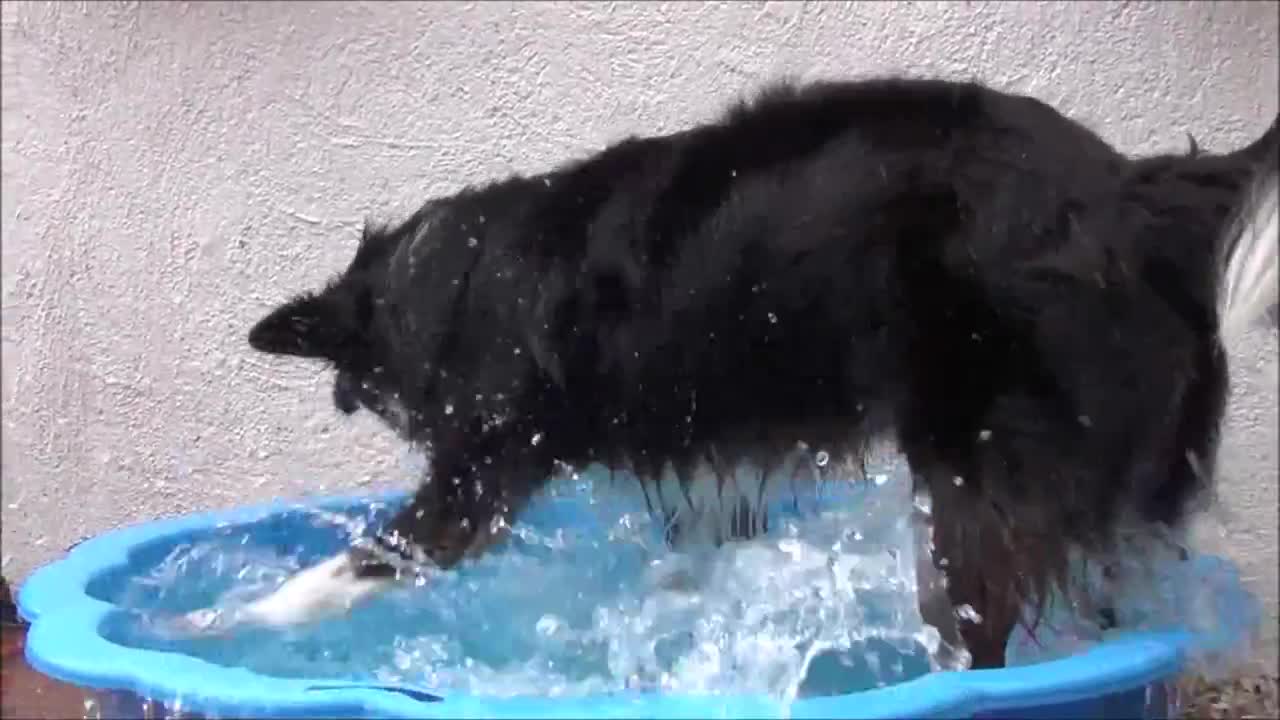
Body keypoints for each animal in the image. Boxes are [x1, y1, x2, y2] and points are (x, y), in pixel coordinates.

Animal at [225, 78, 1274, 666]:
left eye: (377, 404)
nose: (401, 419)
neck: (448, 279)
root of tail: (1133, 188)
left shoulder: (477, 479)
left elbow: (353, 565)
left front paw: (225, 622)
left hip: (979, 477)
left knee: (978, 625)